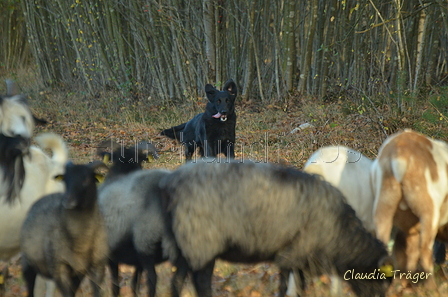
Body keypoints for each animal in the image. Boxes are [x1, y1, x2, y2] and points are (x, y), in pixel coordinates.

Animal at [20, 161, 109, 296]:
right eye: (66, 180)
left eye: (86, 179)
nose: (67, 200)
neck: (81, 243)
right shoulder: (59, 268)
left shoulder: (97, 266)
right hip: (28, 263)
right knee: (30, 286)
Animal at [160, 160, 392, 296]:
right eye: (380, 281)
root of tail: (173, 181)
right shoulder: (293, 253)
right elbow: (286, 285)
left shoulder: (298, 257)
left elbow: (298, 285)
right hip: (201, 240)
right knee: (201, 281)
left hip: (187, 243)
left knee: (178, 279)